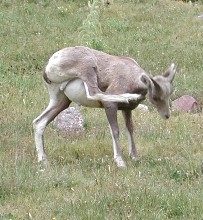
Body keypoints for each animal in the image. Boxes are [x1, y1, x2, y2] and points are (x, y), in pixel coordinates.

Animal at [32, 45, 175, 168]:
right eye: (155, 97)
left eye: (169, 94)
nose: (167, 115)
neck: (130, 75)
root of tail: (49, 65)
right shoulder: (110, 108)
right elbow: (115, 131)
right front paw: (120, 162)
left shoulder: (127, 110)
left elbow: (130, 129)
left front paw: (135, 157)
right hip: (88, 68)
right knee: (94, 93)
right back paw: (129, 96)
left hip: (61, 101)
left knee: (39, 122)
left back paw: (43, 160)